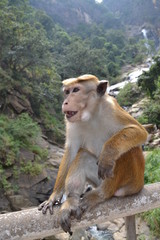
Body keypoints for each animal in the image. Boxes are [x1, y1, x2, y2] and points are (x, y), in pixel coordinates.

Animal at [38, 74, 148, 234]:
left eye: (76, 90)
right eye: (67, 92)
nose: (65, 102)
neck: (91, 115)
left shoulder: (111, 108)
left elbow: (139, 131)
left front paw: (107, 153)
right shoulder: (70, 121)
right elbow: (72, 151)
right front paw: (54, 197)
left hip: (133, 183)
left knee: (128, 149)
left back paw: (102, 193)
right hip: (97, 179)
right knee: (82, 155)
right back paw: (71, 201)